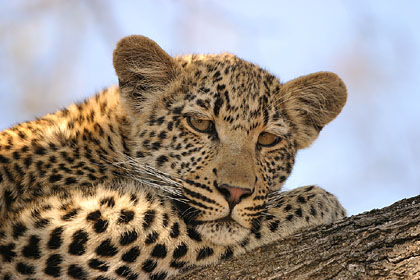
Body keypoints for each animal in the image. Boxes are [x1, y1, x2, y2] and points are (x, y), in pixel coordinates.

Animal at [0, 35, 346, 280]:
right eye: (200, 123)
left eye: (268, 139)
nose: (235, 192)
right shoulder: (35, 230)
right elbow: (166, 223)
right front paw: (317, 202)